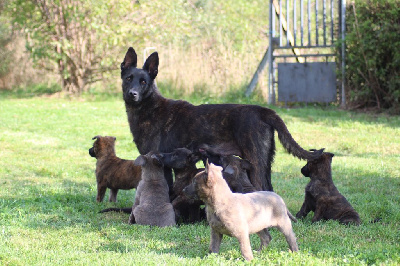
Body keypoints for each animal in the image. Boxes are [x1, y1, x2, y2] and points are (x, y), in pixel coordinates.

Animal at [120, 46, 324, 190]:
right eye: (129, 78)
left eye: (143, 82)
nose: (132, 94)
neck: (148, 107)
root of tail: (263, 111)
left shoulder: (161, 163)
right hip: (264, 163)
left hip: (255, 163)